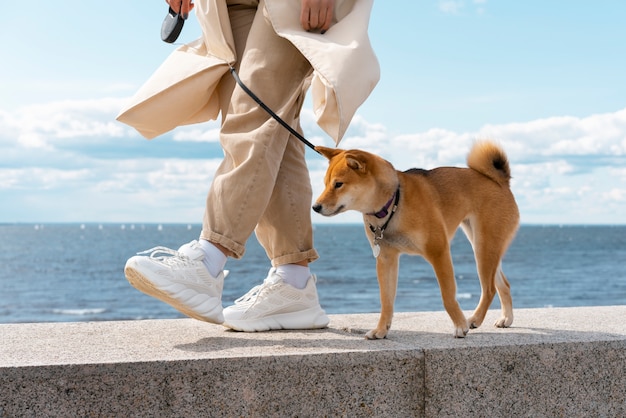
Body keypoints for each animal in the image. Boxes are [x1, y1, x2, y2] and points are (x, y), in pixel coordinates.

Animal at [312, 141, 516, 340]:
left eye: (338, 184)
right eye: (325, 184)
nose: (315, 207)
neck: (393, 203)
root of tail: (500, 181)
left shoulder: (439, 252)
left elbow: (447, 296)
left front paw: (460, 326)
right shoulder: (386, 259)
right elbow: (386, 301)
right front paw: (381, 330)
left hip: (484, 247)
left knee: (489, 288)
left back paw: (474, 319)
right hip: (483, 246)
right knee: (503, 284)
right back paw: (506, 318)